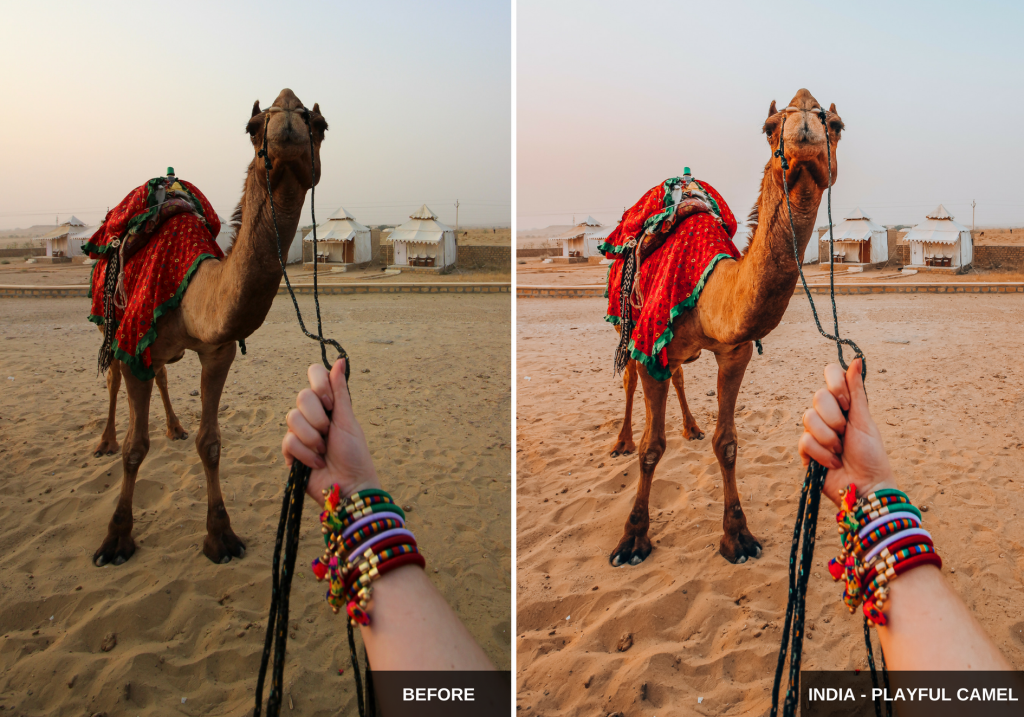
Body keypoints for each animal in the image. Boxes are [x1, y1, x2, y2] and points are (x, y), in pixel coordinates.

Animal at [93, 88, 327, 566]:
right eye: (252, 126)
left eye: (321, 124)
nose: (287, 117)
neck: (190, 294)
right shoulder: (133, 340)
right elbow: (134, 448)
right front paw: (117, 539)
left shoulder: (217, 350)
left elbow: (211, 443)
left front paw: (221, 536)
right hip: (110, 324)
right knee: (112, 379)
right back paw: (105, 440)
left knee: (162, 375)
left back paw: (175, 428)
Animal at [608, 89, 843, 567]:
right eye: (769, 127)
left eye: (836, 125)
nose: (805, 126)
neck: (708, 293)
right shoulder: (650, 341)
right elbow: (651, 448)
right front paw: (633, 539)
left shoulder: (734, 351)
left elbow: (728, 443)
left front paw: (738, 536)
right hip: (628, 324)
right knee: (628, 379)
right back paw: (621, 439)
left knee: (680, 374)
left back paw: (691, 427)